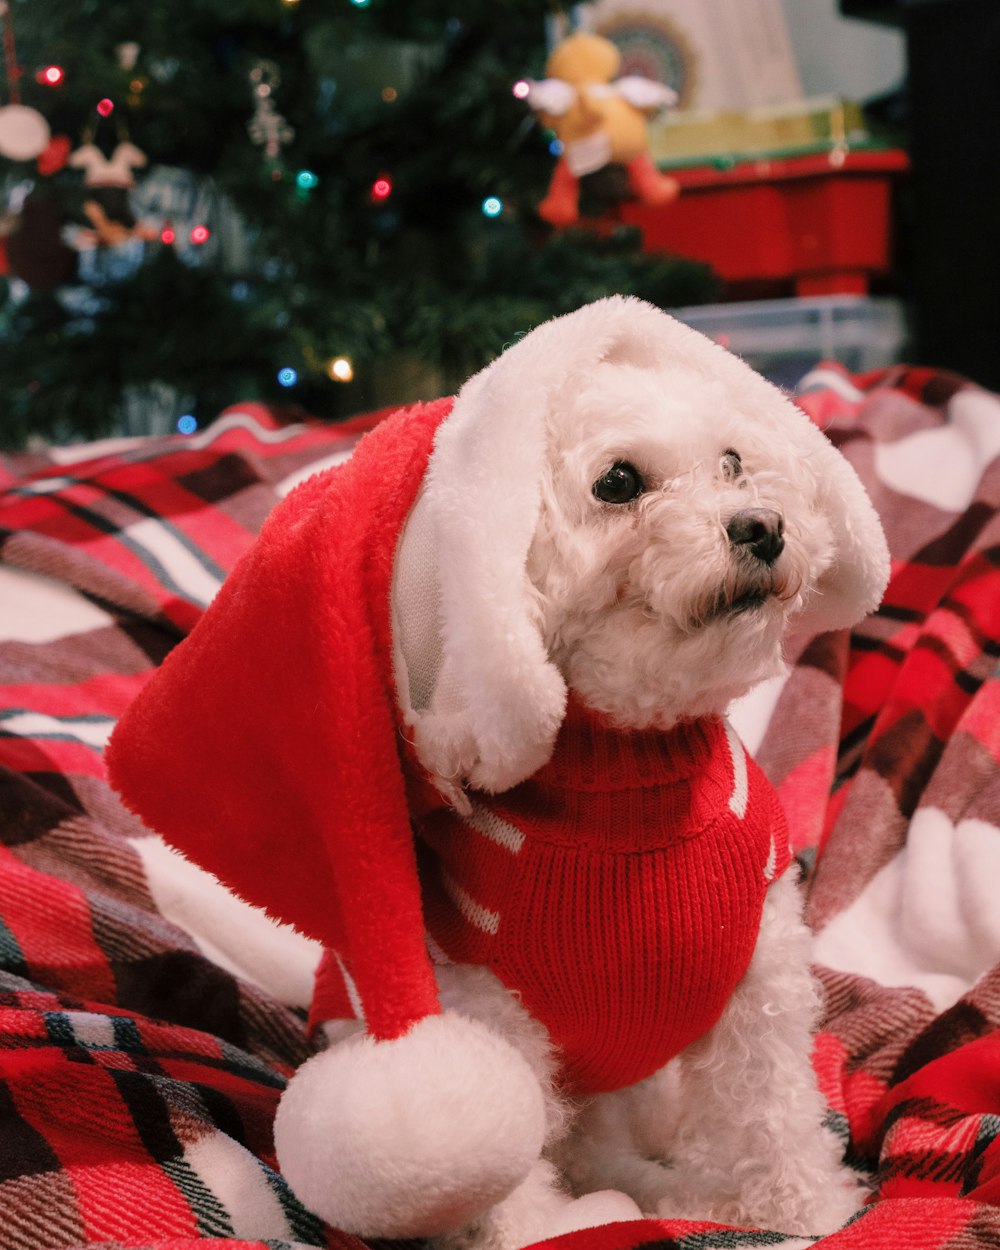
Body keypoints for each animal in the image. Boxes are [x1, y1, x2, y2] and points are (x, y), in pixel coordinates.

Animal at [109, 300, 890, 1250]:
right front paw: (531, 1231)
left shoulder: (758, 975)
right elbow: (500, 1151)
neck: (628, 784)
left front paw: (799, 1208)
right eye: (619, 482)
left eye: (734, 462)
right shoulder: (485, 1002)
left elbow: (766, 1104)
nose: (764, 527)